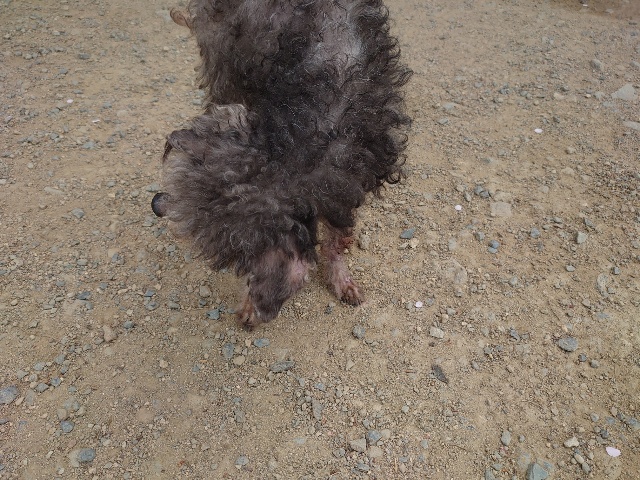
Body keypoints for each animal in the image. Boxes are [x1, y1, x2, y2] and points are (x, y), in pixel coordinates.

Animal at [152, 0, 412, 328]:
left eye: (234, 257)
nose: (157, 203)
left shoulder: (349, 181)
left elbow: (336, 240)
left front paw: (341, 279)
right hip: (223, 57)